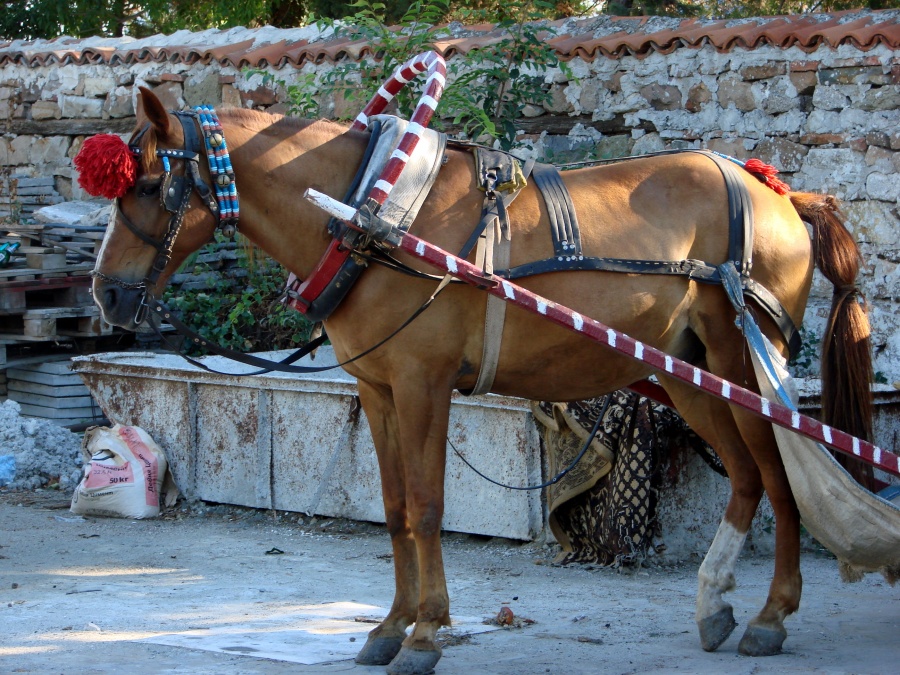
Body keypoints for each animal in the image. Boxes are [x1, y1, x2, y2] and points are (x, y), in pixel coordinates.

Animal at [89, 90, 872, 675]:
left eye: (153, 185)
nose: (106, 295)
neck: (371, 211)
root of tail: (777, 192)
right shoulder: (377, 389)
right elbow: (395, 507)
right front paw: (389, 626)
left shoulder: (423, 384)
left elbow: (428, 506)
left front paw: (425, 634)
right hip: (690, 377)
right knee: (745, 476)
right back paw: (715, 603)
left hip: (744, 367)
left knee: (778, 477)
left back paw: (772, 614)